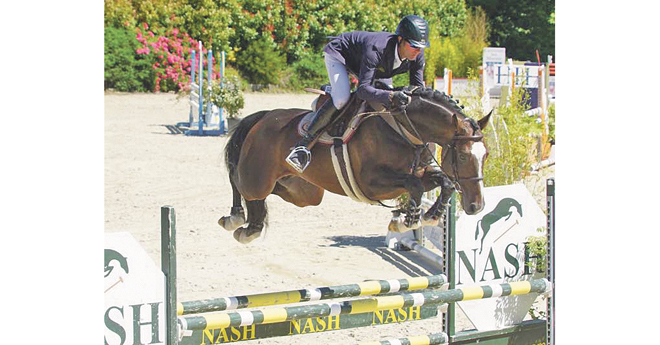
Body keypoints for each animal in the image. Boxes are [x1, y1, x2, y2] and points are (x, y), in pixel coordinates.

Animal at [218, 85, 490, 242]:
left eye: (485, 156)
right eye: (463, 156)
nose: (476, 206)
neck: (404, 129)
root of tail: (264, 117)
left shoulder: (418, 173)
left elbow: (443, 182)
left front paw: (430, 215)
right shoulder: (372, 183)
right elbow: (414, 184)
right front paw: (407, 220)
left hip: (302, 193)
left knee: (265, 197)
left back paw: (249, 225)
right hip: (257, 178)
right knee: (237, 181)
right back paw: (236, 218)